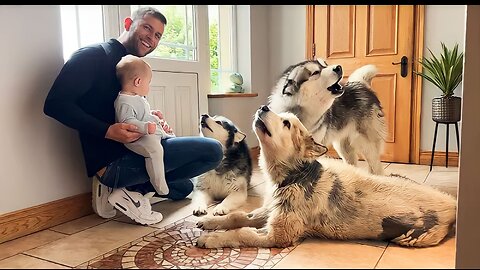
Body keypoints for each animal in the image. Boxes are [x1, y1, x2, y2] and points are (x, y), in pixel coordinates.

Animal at [196, 105, 458, 249]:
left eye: (286, 123)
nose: (263, 107)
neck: (294, 176)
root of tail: (453, 203)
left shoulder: (278, 234)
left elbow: (241, 232)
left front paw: (212, 239)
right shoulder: (268, 210)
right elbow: (238, 216)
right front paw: (211, 221)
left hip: (415, 235)